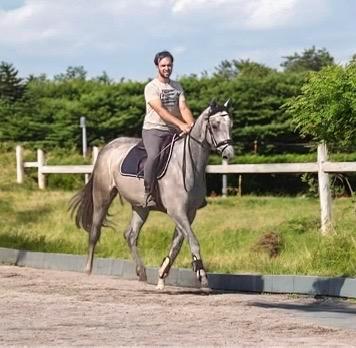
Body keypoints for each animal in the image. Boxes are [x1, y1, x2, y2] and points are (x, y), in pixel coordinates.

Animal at [71, 101, 235, 290]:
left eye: (230, 125)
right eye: (215, 125)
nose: (229, 153)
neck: (188, 165)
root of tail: (107, 147)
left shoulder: (189, 212)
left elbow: (177, 244)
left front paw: (162, 275)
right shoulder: (177, 211)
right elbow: (193, 241)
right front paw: (202, 277)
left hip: (141, 207)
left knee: (131, 235)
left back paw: (142, 273)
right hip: (102, 196)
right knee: (95, 231)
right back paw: (88, 271)